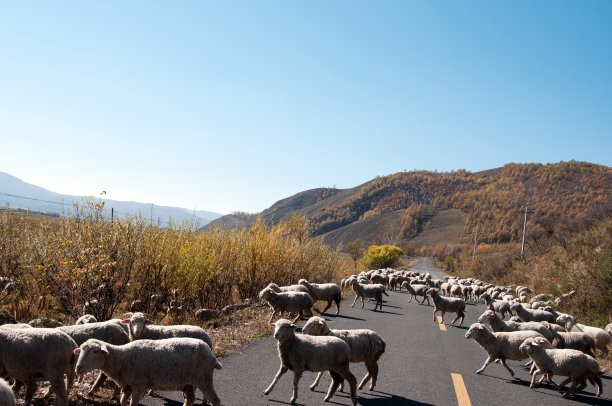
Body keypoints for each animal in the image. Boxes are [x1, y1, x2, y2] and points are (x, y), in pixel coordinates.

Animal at [75, 338, 221, 406]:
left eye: (95, 351)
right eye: (81, 350)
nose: (78, 368)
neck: (122, 358)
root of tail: (210, 353)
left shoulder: (139, 384)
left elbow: (133, 404)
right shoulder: (127, 386)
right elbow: (122, 402)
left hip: (203, 379)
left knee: (216, 400)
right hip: (189, 383)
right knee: (190, 400)